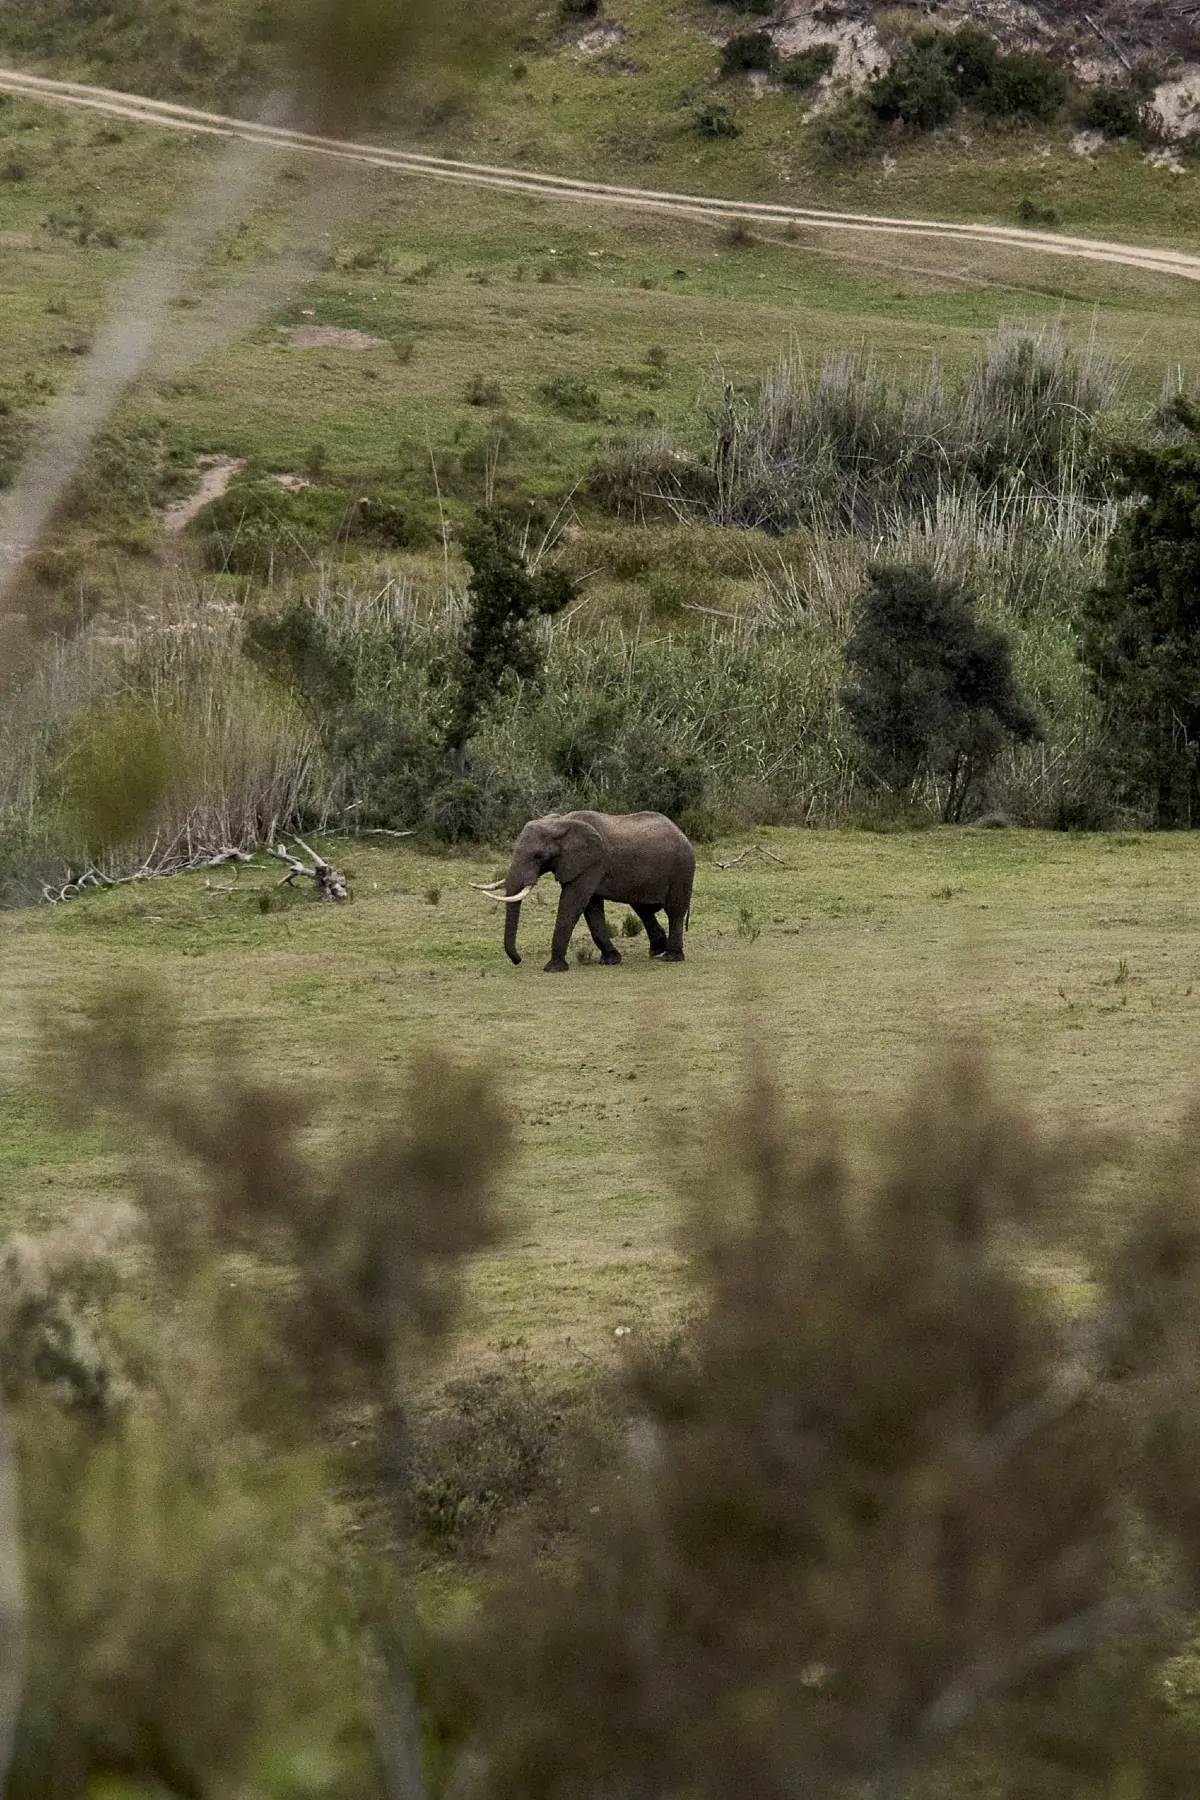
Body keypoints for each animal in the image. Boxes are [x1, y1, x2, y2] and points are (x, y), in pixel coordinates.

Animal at [474, 810, 698, 972]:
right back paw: (656, 952)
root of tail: (681, 832)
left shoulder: (591, 864)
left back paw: (671, 957)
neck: (560, 823)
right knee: (643, 909)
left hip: (682, 868)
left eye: (538, 856)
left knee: (674, 911)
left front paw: (553, 968)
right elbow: (591, 909)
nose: (517, 960)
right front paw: (611, 961)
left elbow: (573, 903)